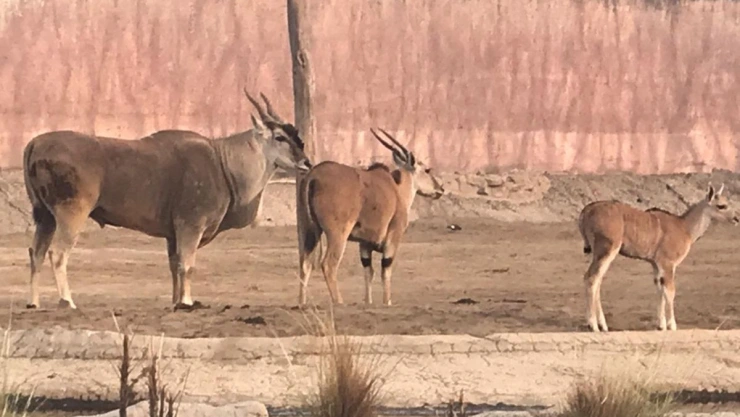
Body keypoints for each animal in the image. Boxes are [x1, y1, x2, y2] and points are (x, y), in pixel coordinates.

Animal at [296, 128, 445, 306]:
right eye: (427, 170)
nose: (440, 189)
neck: (396, 188)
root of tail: (313, 176)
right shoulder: (393, 238)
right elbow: (385, 270)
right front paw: (387, 302)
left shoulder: (364, 244)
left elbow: (369, 271)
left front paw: (368, 301)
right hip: (338, 235)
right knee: (329, 264)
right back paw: (339, 301)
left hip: (309, 231)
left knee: (305, 264)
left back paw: (302, 303)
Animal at [578, 183, 739, 332]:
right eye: (721, 206)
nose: (736, 218)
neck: (684, 227)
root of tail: (586, 211)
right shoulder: (668, 263)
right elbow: (670, 291)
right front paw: (672, 325)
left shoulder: (656, 265)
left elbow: (660, 288)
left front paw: (661, 325)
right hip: (606, 250)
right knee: (591, 278)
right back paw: (593, 325)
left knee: (596, 280)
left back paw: (603, 325)